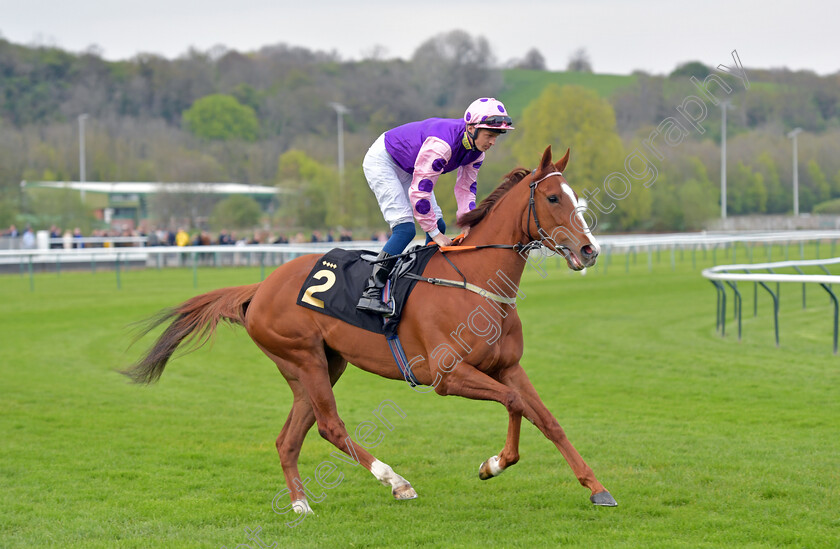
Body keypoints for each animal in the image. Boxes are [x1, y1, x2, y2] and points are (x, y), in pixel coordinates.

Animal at [126, 144, 624, 510]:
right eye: (554, 198)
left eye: (576, 198)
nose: (590, 250)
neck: (475, 283)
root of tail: (261, 286)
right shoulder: (448, 376)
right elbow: (516, 404)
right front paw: (495, 463)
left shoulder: (508, 367)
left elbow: (547, 419)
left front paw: (596, 487)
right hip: (304, 357)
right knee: (331, 426)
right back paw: (395, 481)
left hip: (321, 366)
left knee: (289, 438)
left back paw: (301, 504)